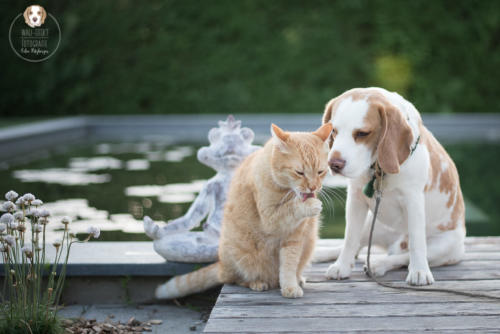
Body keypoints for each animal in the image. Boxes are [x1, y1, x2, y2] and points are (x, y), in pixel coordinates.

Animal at [155, 122, 336, 300]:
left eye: (320, 171)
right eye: (299, 172)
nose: (313, 187)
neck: (287, 191)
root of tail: (221, 266)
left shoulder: (294, 238)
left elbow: (289, 265)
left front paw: (289, 286)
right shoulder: (269, 219)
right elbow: (290, 209)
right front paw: (311, 205)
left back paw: (297, 279)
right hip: (239, 257)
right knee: (235, 279)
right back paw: (257, 282)